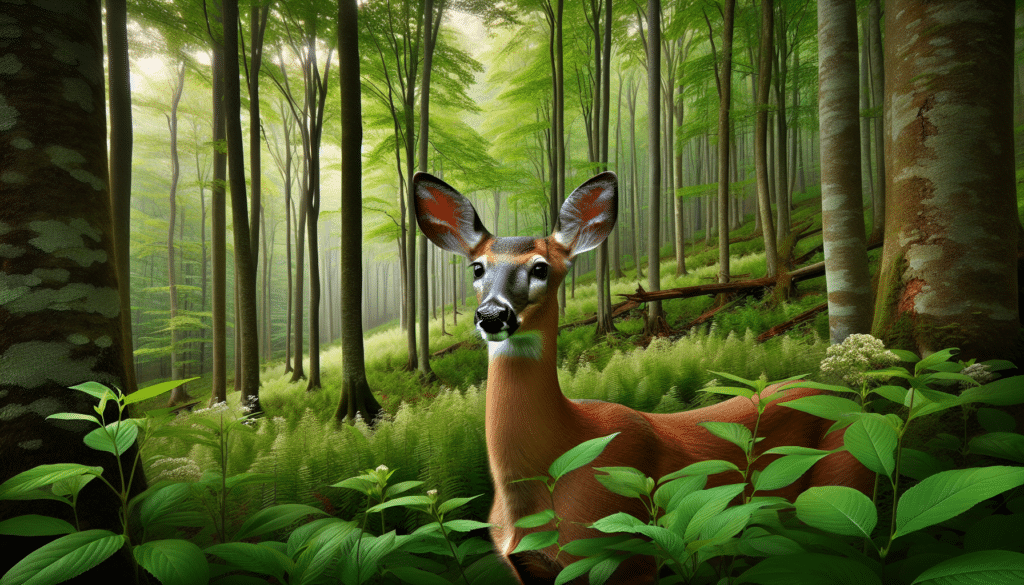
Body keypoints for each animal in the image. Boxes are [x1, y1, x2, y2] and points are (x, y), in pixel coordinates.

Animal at [413, 171, 872, 584]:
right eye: (476, 268)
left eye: (541, 267)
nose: (492, 315)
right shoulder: (529, 570)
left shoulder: (625, 552)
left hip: (842, 483)